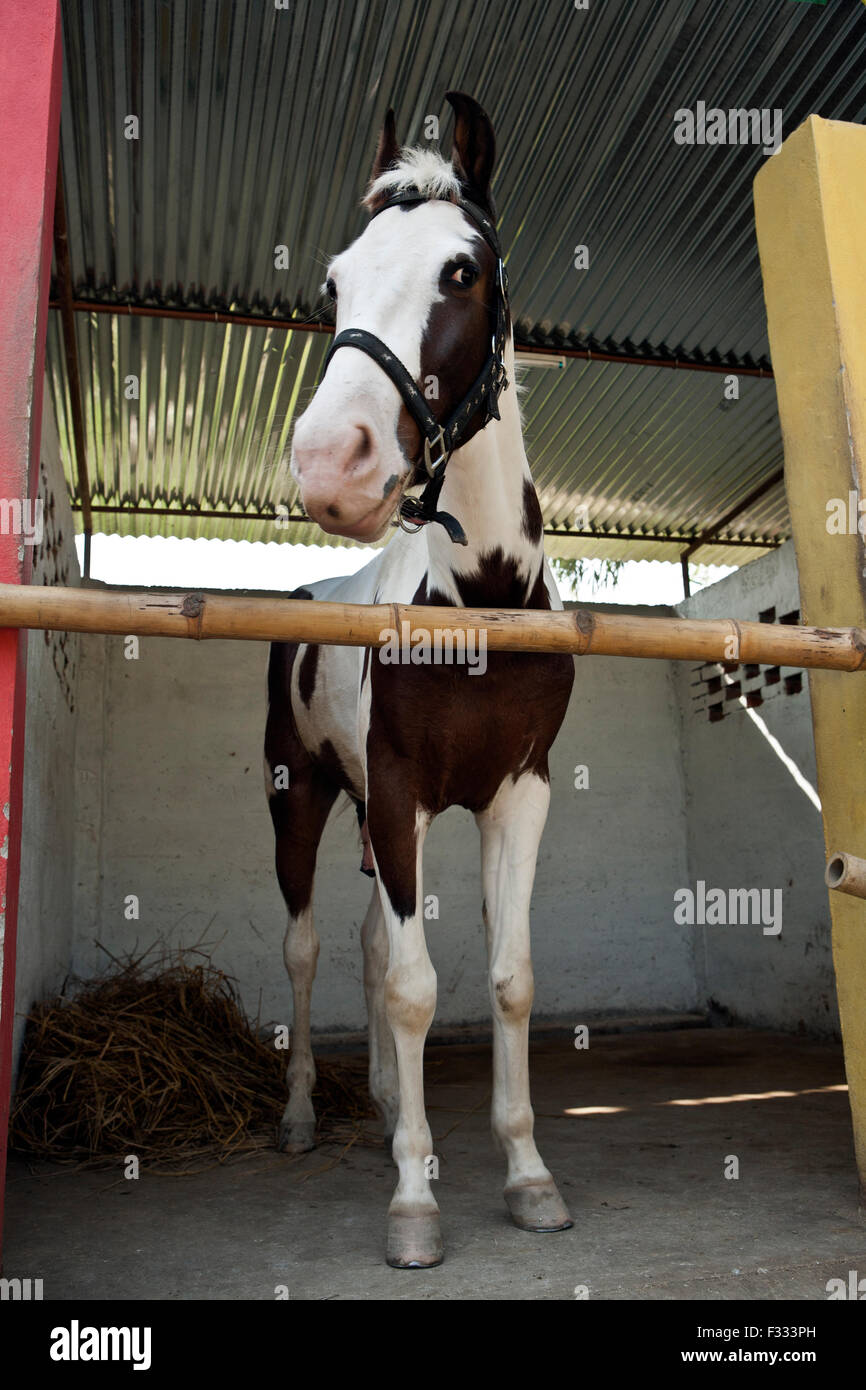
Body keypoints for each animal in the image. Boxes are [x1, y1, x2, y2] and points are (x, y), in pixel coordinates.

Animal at [265, 91, 575, 1269]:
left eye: (460, 270)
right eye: (335, 284)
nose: (331, 463)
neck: (476, 595)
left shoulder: (515, 792)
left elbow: (507, 979)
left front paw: (527, 1174)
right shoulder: (398, 789)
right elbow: (411, 986)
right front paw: (412, 1198)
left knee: (361, 941)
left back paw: (388, 1102)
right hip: (306, 799)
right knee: (311, 947)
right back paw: (304, 1115)